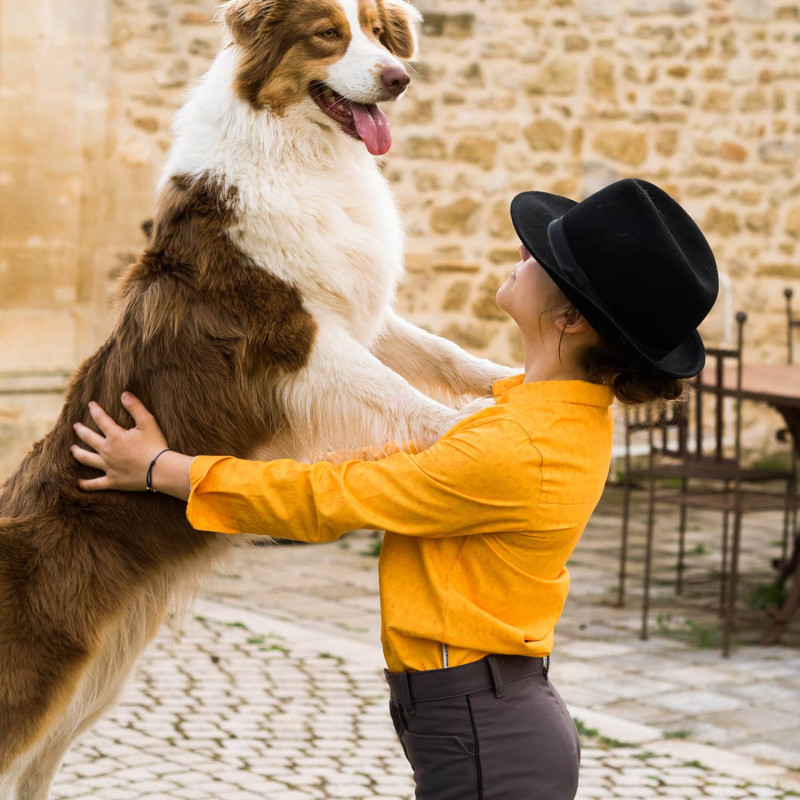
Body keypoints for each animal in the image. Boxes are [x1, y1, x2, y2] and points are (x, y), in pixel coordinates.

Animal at [0, 0, 512, 796]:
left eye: (379, 31)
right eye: (328, 35)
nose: (399, 78)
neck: (300, 153)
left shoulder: (354, 315)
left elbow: (439, 352)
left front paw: (505, 382)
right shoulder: (291, 335)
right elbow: (393, 388)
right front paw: (465, 425)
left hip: (90, 684)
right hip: (34, 684)